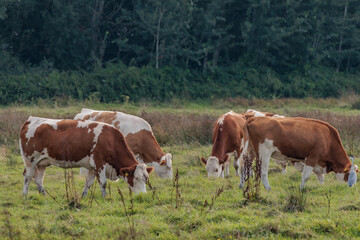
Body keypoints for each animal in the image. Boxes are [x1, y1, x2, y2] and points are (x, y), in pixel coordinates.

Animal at [19, 116, 154, 197]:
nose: (143, 195)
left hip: (42, 163)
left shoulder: (92, 167)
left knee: (38, 178)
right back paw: (25, 195)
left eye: (146, 179)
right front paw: (105, 198)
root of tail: (31, 119)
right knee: (27, 177)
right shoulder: (99, 163)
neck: (110, 140)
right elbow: (103, 183)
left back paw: (43, 194)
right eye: (136, 178)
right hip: (30, 160)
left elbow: (88, 183)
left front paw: (84, 196)